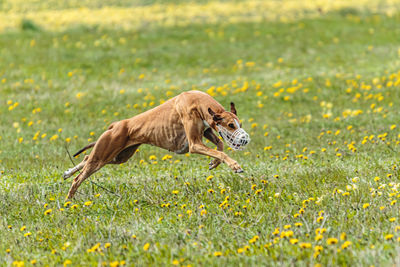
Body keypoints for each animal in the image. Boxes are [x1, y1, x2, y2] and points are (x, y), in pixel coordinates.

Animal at [62, 90, 250, 199]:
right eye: (231, 125)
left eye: (239, 123)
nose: (244, 140)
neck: (197, 101)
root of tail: (116, 125)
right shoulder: (194, 144)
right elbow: (221, 151)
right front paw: (235, 166)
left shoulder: (205, 131)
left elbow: (220, 145)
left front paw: (214, 163)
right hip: (104, 155)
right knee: (79, 178)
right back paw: (69, 200)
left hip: (118, 157)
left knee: (87, 157)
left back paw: (67, 173)